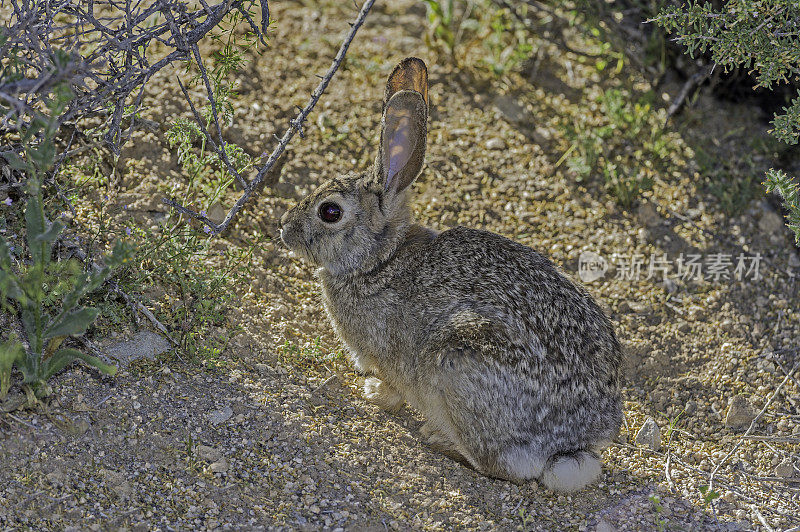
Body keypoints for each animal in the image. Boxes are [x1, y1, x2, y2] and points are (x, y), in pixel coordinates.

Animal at [282, 57, 624, 490]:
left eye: (330, 211)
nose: (284, 229)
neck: (379, 261)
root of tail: (577, 443)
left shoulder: (391, 359)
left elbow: (393, 389)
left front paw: (372, 392)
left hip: (457, 364)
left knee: (503, 467)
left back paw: (440, 440)